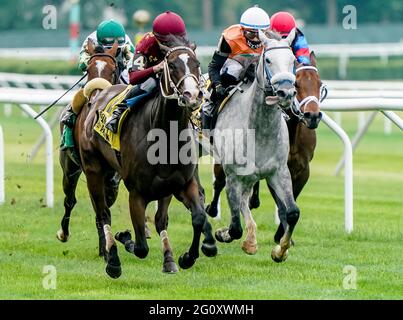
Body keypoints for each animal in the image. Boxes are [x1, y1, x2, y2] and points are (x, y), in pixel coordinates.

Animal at [68, 37, 218, 278]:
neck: (165, 135)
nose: (193, 96)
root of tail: (98, 94)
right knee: (103, 213)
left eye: (196, 64)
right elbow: (140, 247)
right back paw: (112, 259)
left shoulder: (178, 184)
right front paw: (125, 239)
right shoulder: (137, 193)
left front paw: (183, 257)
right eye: (172, 65)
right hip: (93, 170)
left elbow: (193, 217)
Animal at [207, 52, 324, 250]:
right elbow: (280, 204)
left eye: (319, 83)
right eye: (297, 84)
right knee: (220, 182)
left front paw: (284, 237)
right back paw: (214, 209)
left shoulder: (300, 170)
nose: (313, 116)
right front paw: (281, 237)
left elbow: (290, 202)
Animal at [215, 28, 300, 262]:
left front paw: (280, 250)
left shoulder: (278, 172)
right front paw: (222, 233)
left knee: (246, 200)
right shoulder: (233, 176)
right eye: (268, 60)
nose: (286, 93)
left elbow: (292, 212)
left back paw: (252, 238)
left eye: (293, 60)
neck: (259, 131)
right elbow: (235, 227)